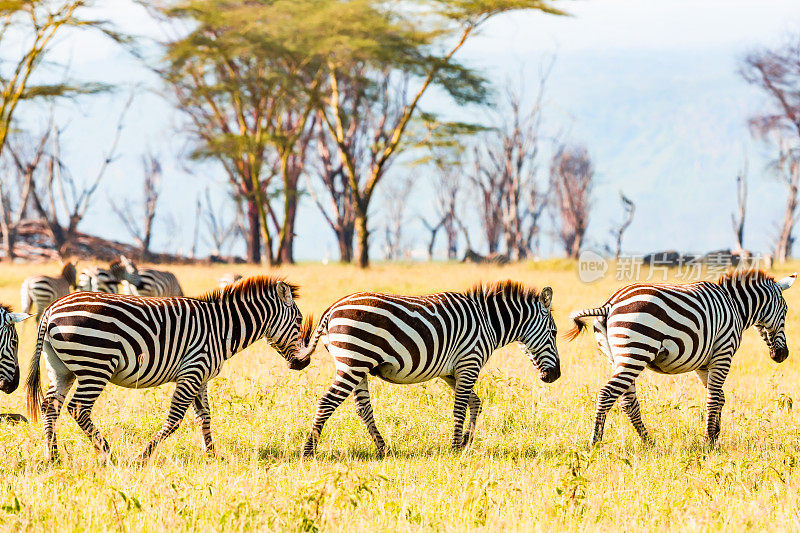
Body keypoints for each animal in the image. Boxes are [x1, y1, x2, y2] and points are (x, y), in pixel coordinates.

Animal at [25, 274, 304, 462]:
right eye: (300, 321)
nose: (304, 363)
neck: (222, 328)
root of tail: (51, 310)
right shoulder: (193, 370)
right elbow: (175, 418)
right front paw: (143, 457)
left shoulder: (201, 376)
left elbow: (204, 415)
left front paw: (212, 455)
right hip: (96, 365)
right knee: (78, 408)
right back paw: (108, 454)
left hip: (61, 369)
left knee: (50, 406)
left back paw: (54, 456)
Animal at [290, 280, 560, 456]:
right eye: (555, 333)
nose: (555, 376)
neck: (489, 323)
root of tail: (331, 309)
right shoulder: (469, 362)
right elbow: (460, 407)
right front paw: (455, 447)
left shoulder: (452, 372)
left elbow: (475, 402)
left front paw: (466, 441)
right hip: (353, 361)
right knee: (327, 402)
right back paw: (308, 451)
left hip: (358, 366)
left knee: (363, 408)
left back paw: (383, 449)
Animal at [564, 268, 796, 446]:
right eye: (785, 311)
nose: (782, 355)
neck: (736, 307)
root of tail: (610, 303)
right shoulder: (723, 352)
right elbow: (713, 398)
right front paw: (709, 441)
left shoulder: (704, 363)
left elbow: (720, 397)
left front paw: (715, 436)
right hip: (635, 354)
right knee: (607, 394)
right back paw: (595, 443)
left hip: (619, 359)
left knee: (628, 401)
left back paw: (649, 442)